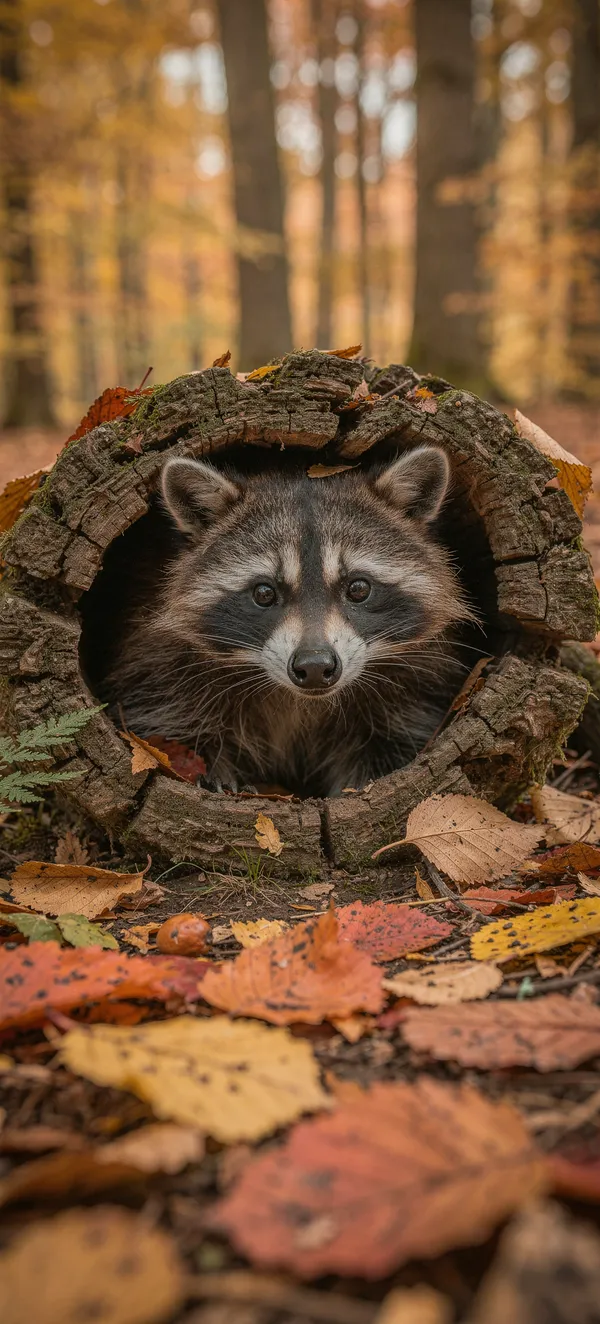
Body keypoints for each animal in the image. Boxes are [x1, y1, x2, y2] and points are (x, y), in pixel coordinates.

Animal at [106, 447, 475, 797]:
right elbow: (173, 727)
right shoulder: (157, 665)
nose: (314, 666)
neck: (300, 702)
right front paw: (210, 769)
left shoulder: (416, 685)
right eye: (264, 593)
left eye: (358, 588)